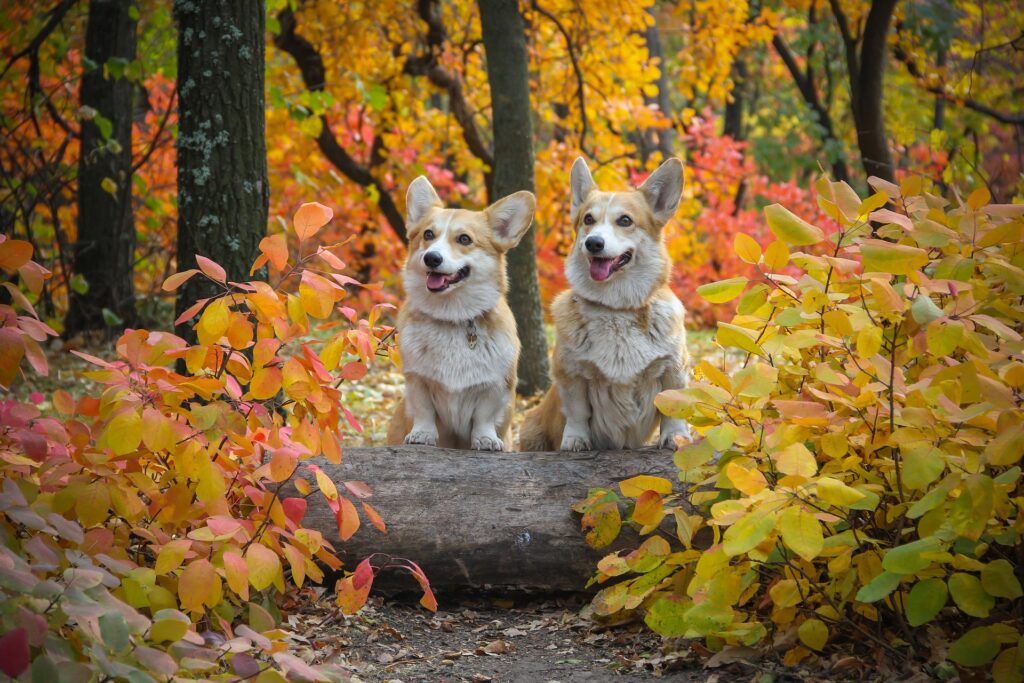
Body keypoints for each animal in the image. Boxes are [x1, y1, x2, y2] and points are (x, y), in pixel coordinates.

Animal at [385, 176, 536, 450]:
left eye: (464, 239)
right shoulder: (418, 381)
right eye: (428, 234)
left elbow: (484, 417)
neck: (452, 317)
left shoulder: (494, 387)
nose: (431, 258)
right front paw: (422, 435)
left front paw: (485, 439)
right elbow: (424, 411)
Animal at [524, 157, 692, 450]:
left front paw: (676, 437)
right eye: (588, 219)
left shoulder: (674, 367)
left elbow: (673, 407)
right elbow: (578, 412)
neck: (616, 309)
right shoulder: (571, 374)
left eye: (625, 220)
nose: (593, 243)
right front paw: (575, 441)